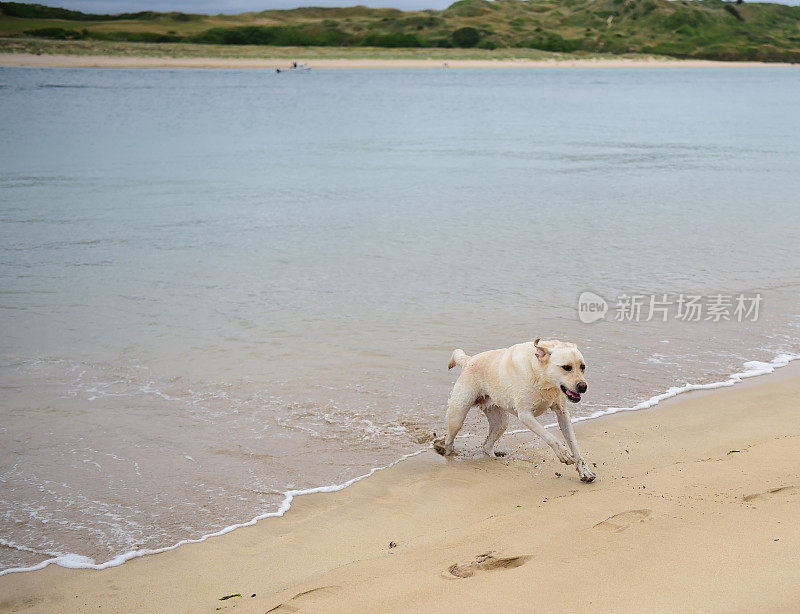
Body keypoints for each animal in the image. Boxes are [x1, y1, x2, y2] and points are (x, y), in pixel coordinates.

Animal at [434, 340, 596, 484]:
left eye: (582, 367)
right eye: (566, 367)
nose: (583, 386)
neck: (541, 376)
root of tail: (469, 360)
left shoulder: (562, 413)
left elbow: (575, 445)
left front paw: (585, 471)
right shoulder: (525, 415)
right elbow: (550, 436)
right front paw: (563, 453)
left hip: (501, 422)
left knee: (486, 445)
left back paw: (495, 458)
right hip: (458, 414)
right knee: (449, 439)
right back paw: (447, 454)